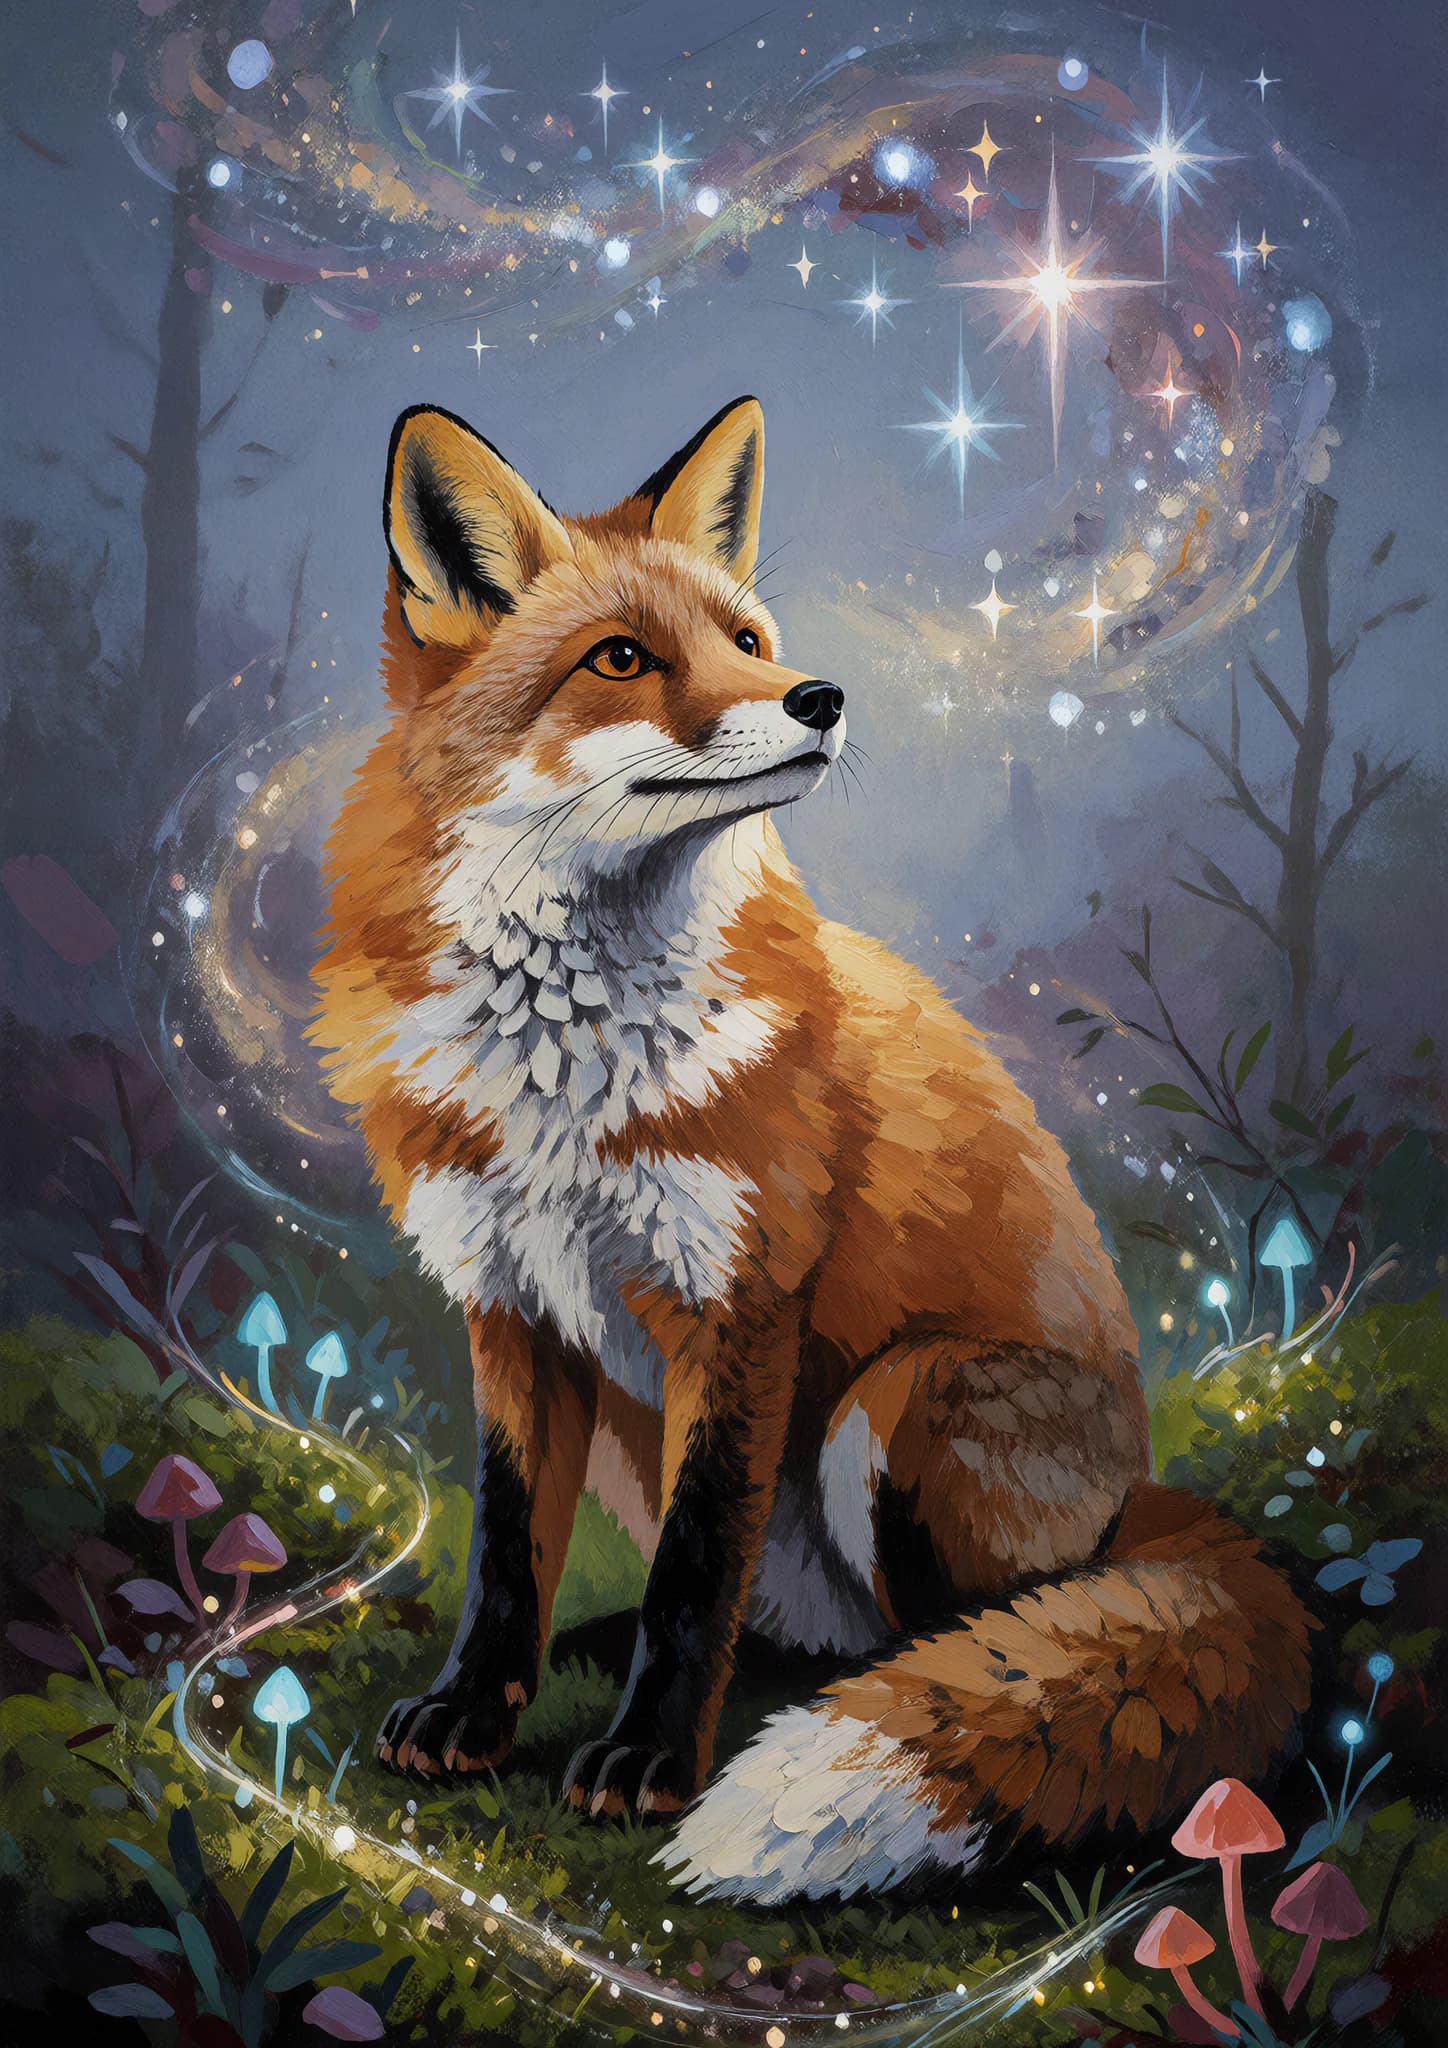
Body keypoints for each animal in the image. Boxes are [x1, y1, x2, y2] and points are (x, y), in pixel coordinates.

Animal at [311, 395, 1312, 1902]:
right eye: (622, 657)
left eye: (747, 639)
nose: (821, 698)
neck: (568, 1061)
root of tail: (1146, 1499)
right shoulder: (505, 1301)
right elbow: (506, 1548)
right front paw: (479, 1710)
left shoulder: (740, 1296)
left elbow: (693, 1566)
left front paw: (652, 1759)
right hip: (654, 1422)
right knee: (791, 1629)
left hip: (893, 1405)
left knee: (980, 1624)